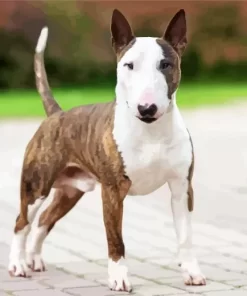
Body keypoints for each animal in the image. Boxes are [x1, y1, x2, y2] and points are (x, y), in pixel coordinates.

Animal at [8, 8, 206, 292]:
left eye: (166, 64)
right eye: (129, 65)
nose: (147, 108)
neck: (151, 132)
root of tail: (56, 114)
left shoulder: (182, 188)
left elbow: (185, 236)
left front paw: (192, 273)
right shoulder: (112, 191)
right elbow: (116, 239)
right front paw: (119, 279)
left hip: (70, 192)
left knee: (45, 219)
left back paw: (34, 259)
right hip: (36, 186)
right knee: (22, 222)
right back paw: (17, 265)